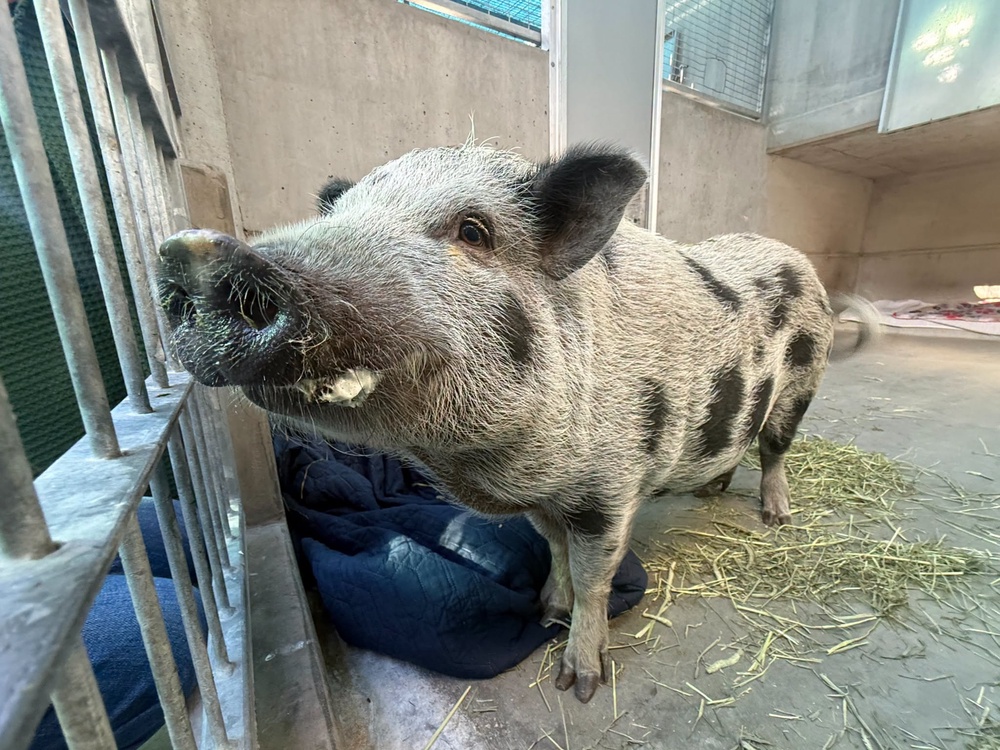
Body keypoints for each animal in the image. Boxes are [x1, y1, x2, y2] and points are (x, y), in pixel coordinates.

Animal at [156, 142, 879, 703]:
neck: (499, 468)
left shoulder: (609, 489)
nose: (192, 254)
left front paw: (580, 682)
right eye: (339, 212)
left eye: (473, 232)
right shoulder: (542, 502)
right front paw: (545, 609)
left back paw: (775, 517)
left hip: (803, 384)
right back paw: (708, 491)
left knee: (775, 448)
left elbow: (595, 578)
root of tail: (799, 262)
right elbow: (554, 552)